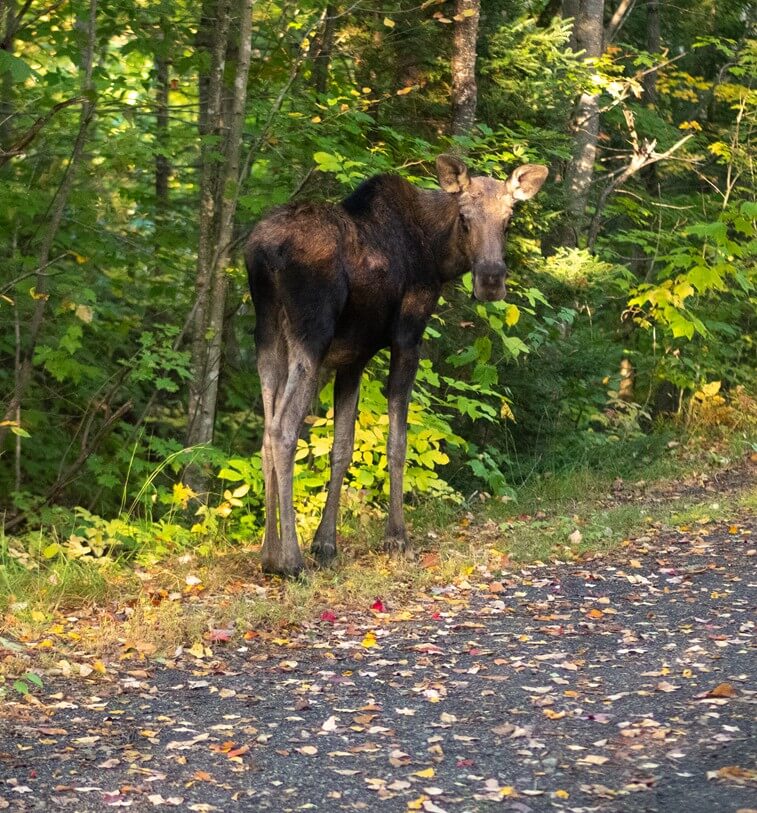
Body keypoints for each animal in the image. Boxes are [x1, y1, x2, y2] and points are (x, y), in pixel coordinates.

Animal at [245, 155, 548, 575]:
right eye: (465, 218)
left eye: (509, 219)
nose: (491, 279)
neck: (438, 257)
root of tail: (264, 253)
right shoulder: (408, 336)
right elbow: (397, 441)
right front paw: (397, 538)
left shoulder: (352, 358)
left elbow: (342, 447)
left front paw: (326, 543)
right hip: (310, 335)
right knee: (282, 430)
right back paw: (290, 559)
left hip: (268, 336)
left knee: (265, 431)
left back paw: (269, 554)